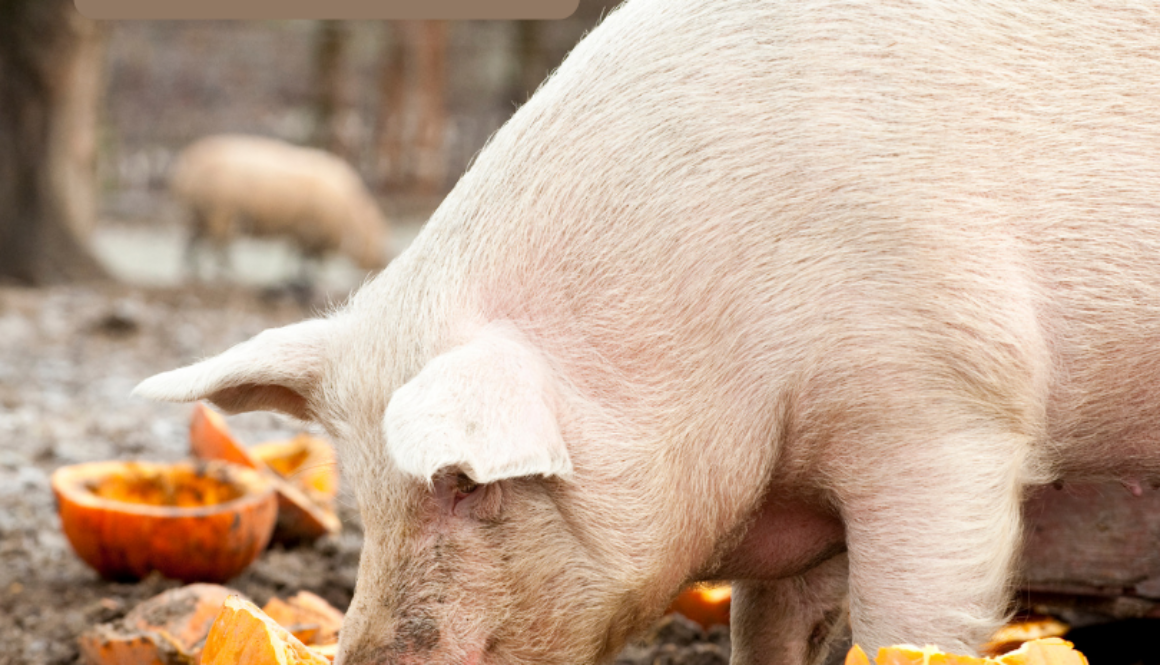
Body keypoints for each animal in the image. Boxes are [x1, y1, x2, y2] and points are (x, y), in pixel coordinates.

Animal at [133, 0, 1160, 664]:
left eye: (468, 484)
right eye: (363, 490)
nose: (374, 658)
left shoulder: (944, 409)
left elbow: (912, 619)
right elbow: (769, 631)